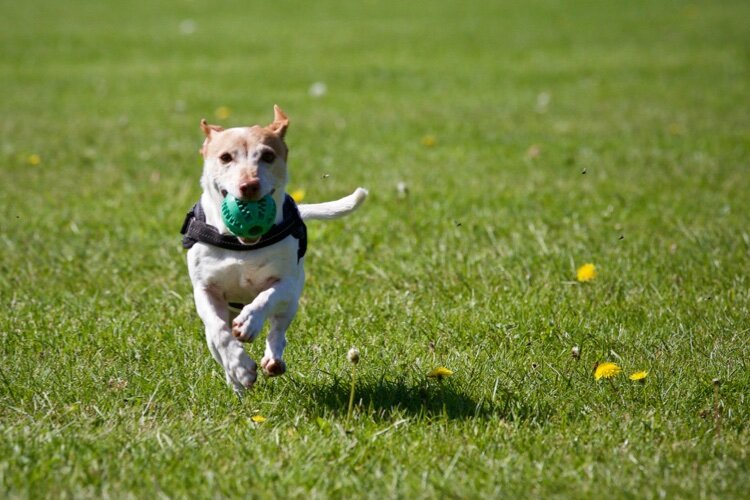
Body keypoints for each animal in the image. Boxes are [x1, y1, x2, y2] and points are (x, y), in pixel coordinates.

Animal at [183, 105, 370, 392]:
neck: (241, 246)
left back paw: (273, 359)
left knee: (278, 330)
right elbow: (219, 331)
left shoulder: (287, 283)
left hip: (291, 303)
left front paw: (249, 322)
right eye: (225, 157)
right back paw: (236, 382)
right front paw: (240, 367)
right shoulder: (205, 289)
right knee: (216, 340)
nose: (249, 185)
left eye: (268, 156)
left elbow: (266, 298)